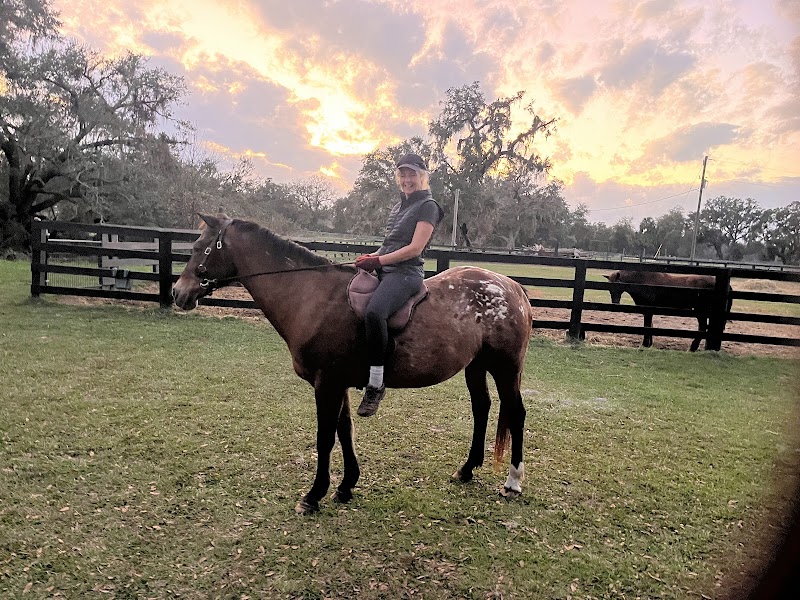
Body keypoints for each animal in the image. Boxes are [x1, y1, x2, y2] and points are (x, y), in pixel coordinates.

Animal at [172, 214, 534, 514]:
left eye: (200, 248)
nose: (178, 293)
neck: (313, 298)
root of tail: (513, 287)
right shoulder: (338, 383)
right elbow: (345, 431)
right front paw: (346, 487)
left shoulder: (326, 384)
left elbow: (325, 437)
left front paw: (314, 495)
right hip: (476, 365)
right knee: (482, 408)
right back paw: (467, 470)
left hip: (505, 367)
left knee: (516, 413)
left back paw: (513, 482)